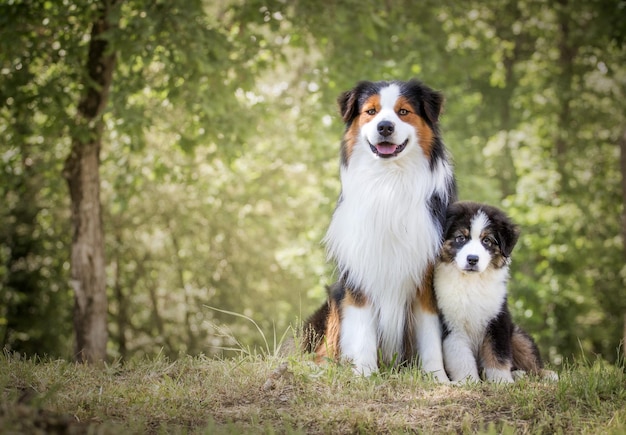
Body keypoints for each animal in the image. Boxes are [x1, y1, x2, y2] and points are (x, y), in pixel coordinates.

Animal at [302, 79, 454, 382]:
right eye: (371, 111)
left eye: (403, 112)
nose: (385, 127)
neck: (388, 181)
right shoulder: (359, 271)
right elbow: (362, 331)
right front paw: (363, 373)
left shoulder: (425, 275)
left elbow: (430, 335)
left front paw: (437, 378)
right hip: (334, 297)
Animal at [434, 203, 552, 384]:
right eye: (460, 238)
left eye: (487, 240)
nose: (472, 259)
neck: (472, 282)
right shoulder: (452, 324)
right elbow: (461, 357)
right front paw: (468, 381)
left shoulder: (498, 318)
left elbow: (497, 353)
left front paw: (502, 382)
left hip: (517, 334)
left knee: (530, 359)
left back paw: (543, 375)